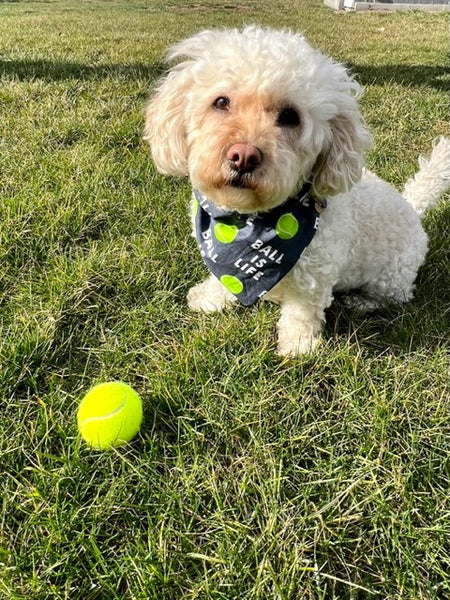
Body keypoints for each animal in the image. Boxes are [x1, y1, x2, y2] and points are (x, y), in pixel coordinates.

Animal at [145, 25, 450, 356]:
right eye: (221, 102)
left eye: (291, 116)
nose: (243, 156)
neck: (249, 221)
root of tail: (412, 207)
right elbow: (222, 280)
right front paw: (209, 298)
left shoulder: (314, 280)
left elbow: (301, 314)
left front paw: (297, 347)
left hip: (391, 278)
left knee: (395, 296)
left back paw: (360, 301)